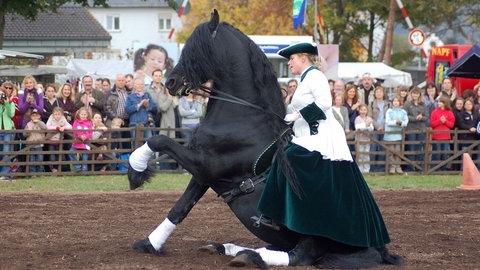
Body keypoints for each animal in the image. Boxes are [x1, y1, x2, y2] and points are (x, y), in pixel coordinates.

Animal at [127, 10, 402, 268]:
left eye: (196, 49)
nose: (171, 82)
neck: (243, 114)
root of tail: (378, 247)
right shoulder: (204, 173)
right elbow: (181, 207)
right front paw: (149, 243)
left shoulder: (205, 164)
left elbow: (159, 141)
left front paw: (135, 172)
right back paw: (224, 247)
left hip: (313, 237)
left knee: (298, 256)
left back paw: (247, 255)